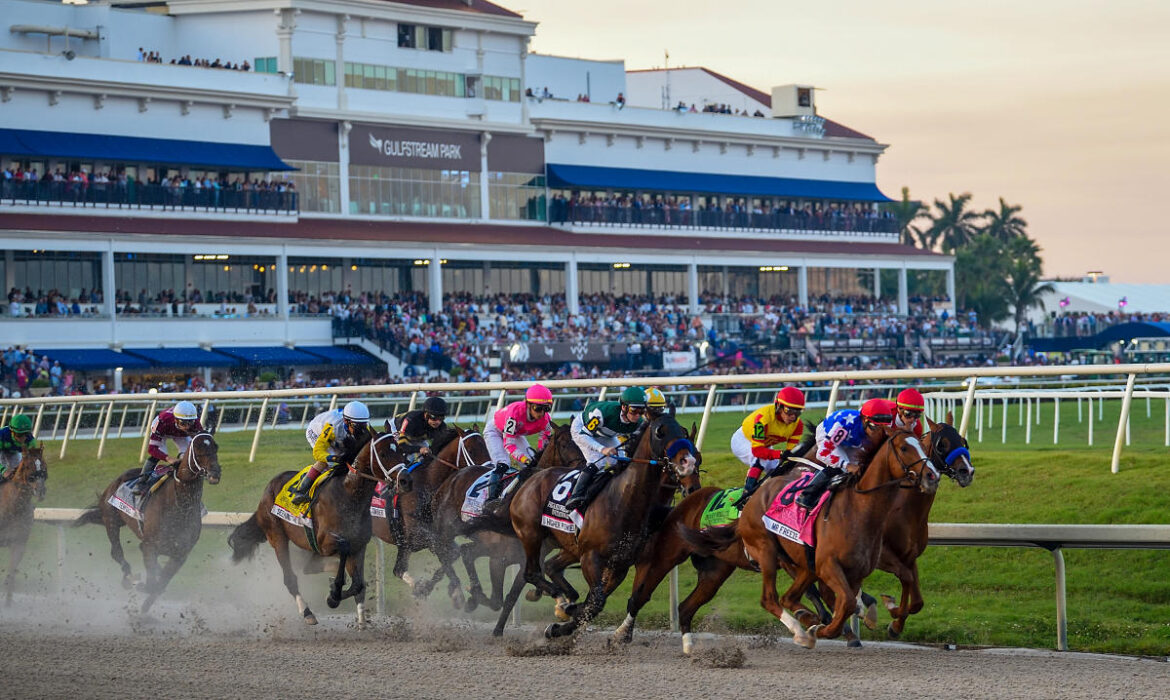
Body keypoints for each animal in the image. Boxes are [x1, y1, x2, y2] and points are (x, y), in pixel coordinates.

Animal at [0, 447, 47, 604]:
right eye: (28, 466)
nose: (40, 491)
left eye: (44, 467)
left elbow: (11, 573)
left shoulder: (19, 542)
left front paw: (7, 603)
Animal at [74, 433, 219, 613]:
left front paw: (145, 608)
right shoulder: (150, 546)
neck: (179, 506)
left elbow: (160, 584)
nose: (215, 473)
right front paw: (143, 588)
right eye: (198, 449)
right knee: (116, 552)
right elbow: (152, 581)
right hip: (111, 519)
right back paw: (129, 577)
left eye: (216, 447)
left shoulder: (180, 554)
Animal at [228, 430, 402, 627]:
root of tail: (269, 487)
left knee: (309, 567)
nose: (405, 478)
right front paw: (334, 594)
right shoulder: (325, 542)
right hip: (277, 535)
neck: (349, 495)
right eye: (383, 453)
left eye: (401, 450)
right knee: (290, 578)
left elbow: (359, 584)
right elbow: (344, 548)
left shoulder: (359, 545)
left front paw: (341, 599)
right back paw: (307, 612)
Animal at [510, 416, 692, 641]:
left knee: (551, 566)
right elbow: (595, 601)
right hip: (531, 535)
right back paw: (560, 600)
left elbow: (594, 603)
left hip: (568, 545)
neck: (623, 500)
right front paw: (566, 617)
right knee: (532, 573)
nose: (688, 462)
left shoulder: (620, 564)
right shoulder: (591, 557)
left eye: (683, 432)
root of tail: (534, 477)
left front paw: (565, 622)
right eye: (660, 432)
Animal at [683, 428, 935, 650]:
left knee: (788, 597)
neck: (859, 510)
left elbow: (850, 602)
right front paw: (823, 629)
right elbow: (846, 604)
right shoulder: (828, 566)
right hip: (766, 551)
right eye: (904, 447)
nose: (931, 475)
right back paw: (802, 631)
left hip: (802, 565)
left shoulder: (856, 572)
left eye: (923, 446)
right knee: (770, 599)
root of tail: (751, 501)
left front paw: (885, 616)